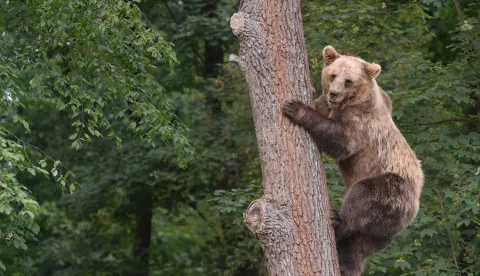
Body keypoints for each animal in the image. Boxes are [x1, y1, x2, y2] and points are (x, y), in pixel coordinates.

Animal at [282, 45, 424, 276]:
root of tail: (415, 207)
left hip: (393, 188)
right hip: (382, 231)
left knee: (363, 196)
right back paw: (346, 264)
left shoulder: (360, 122)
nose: (334, 93)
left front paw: (294, 107)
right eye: (333, 75)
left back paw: (337, 221)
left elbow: (341, 142)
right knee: (359, 245)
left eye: (348, 81)